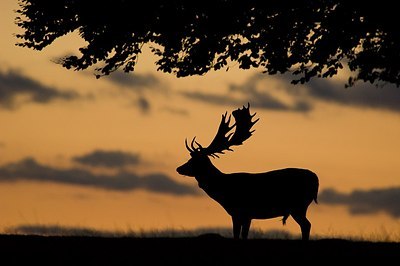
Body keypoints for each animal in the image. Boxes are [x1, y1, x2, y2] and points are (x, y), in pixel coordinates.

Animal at [177, 103, 318, 240]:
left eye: (194, 161)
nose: (179, 168)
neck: (223, 189)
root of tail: (316, 179)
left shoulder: (241, 211)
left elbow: (238, 235)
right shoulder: (244, 214)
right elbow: (242, 234)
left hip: (298, 206)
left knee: (306, 225)